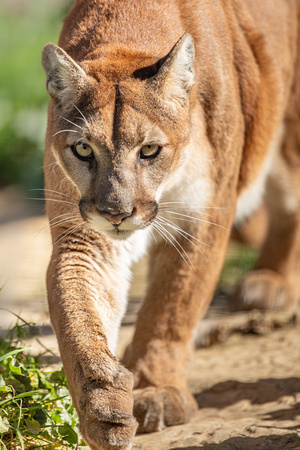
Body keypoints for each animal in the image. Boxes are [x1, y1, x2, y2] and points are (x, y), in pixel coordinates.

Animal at [41, 0, 300, 448]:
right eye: (83, 149)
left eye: (149, 150)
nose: (116, 213)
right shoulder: (84, 233)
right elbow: (77, 310)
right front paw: (101, 402)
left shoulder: (204, 214)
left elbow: (173, 303)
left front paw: (156, 388)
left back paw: (271, 281)